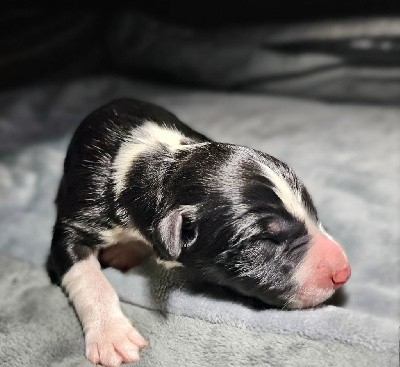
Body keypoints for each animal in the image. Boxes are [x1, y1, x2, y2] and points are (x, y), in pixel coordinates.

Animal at [47, 98, 350, 367]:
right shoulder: (80, 215)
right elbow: (88, 278)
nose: (343, 273)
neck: (155, 167)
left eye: (314, 212)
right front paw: (112, 335)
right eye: (264, 240)